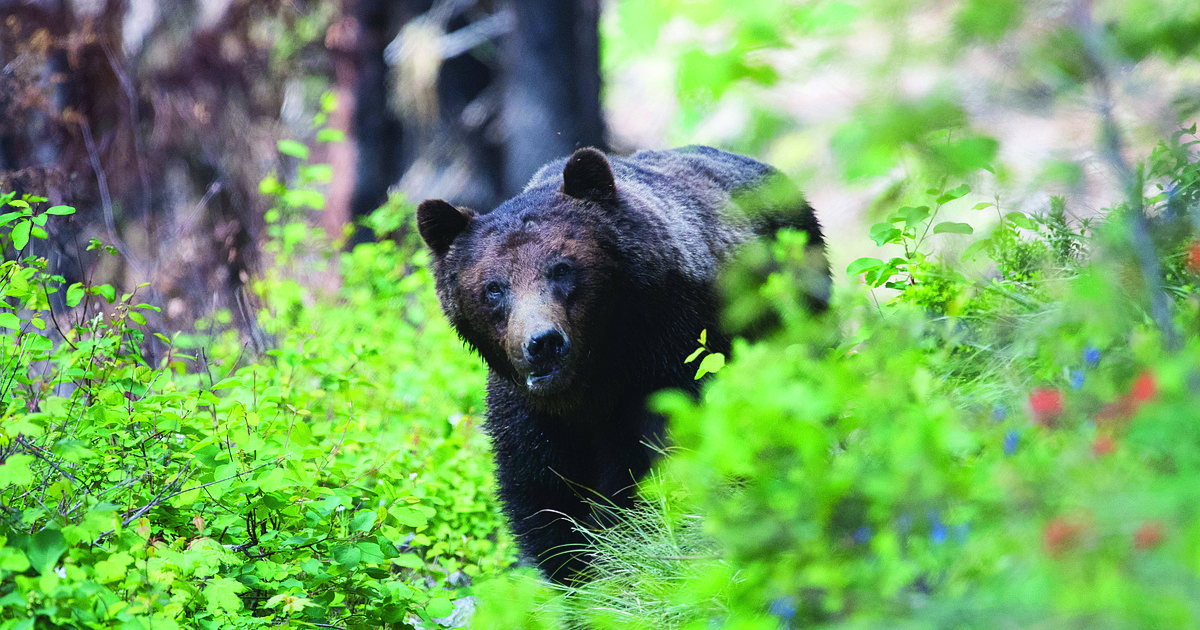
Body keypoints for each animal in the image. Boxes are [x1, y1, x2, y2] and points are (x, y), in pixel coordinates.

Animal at [416, 146, 829, 584]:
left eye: (562, 268)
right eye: (493, 288)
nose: (543, 343)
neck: (595, 374)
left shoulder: (667, 356)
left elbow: (644, 460)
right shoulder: (530, 410)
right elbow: (541, 490)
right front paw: (572, 566)